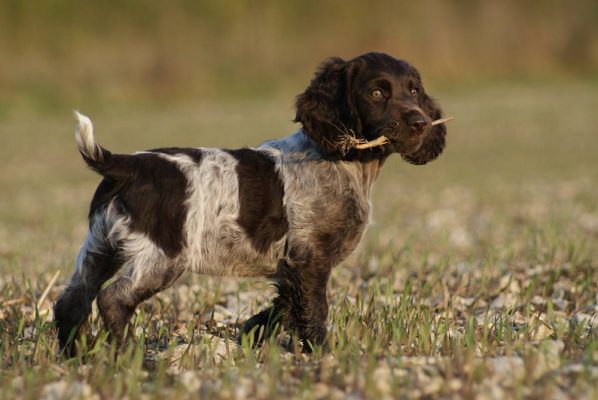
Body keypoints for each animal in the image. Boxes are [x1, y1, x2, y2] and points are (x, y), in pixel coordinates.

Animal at [55, 51, 450, 354]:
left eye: (414, 90)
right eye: (378, 92)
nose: (421, 122)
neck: (345, 160)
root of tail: (127, 164)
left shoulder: (292, 265)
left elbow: (284, 307)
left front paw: (251, 334)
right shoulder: (310, 257)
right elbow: (313, 310)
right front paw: (322, 353)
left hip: (99, 248)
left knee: (71, 301)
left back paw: (75, 357)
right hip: (162, 256)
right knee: (112, 300)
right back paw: (126, 355)